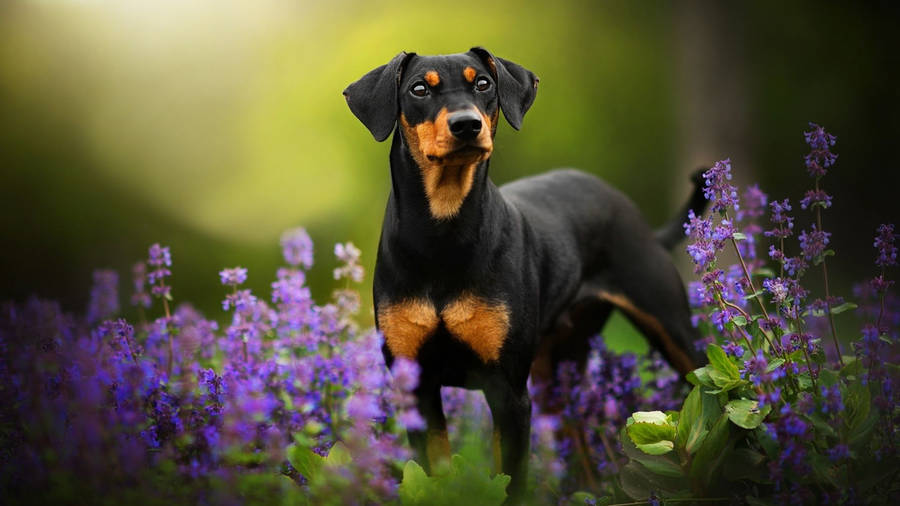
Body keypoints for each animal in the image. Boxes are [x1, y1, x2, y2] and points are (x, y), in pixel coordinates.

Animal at [344, 48, 704, 502]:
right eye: (419, 89)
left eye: (483, 83)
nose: (467, 125)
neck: (442, 234)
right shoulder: (418, 389)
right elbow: (433, 473)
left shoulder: (509, 391)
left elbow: (511, 479)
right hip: (557, 367)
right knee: (577, 438)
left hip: (672, 331)